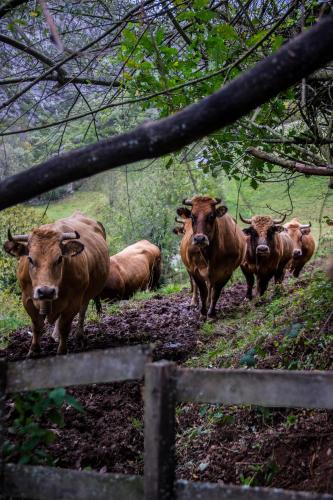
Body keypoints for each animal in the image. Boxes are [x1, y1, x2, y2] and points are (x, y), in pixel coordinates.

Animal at [2, 213, 109, 358]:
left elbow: (65, 326)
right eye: (30, 259)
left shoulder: (74, 301)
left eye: (59, 258)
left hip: (86, 294)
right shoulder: (27, 299)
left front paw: (62, 350)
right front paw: (34, 350)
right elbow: (37, 325)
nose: (46, 291)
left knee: (82, 311)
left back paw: (79, 336)